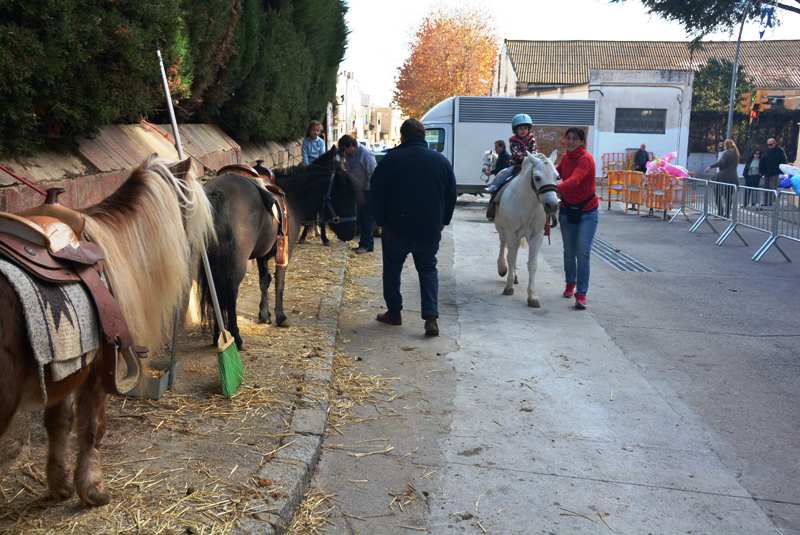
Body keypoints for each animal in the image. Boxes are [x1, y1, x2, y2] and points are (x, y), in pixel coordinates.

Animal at [0, 155, 214, 506]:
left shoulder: (66, 370)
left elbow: (58, 424)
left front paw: (59, 484)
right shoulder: (100, 371)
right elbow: (92, 428)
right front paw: (92, 489)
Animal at [202, 148, 360, 348]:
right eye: (344, 195)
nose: (352, 231)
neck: (292, 196)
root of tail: (217, 193)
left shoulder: (262, 254)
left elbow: (264, 281)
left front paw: (264, 314)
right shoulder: (284, 252)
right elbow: (279, 282)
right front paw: (280, 316)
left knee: (215, 291)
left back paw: (219, 334)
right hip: (235, 264)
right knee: (230, 294)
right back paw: (235, 336)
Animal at [496, 151, 560, 308]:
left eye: (557, 177)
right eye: (537, 178)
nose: (552, 205)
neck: (528, 203)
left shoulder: (537, 236)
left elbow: (532, 264)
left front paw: (532, 296)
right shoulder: (511, 232)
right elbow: (511, 257)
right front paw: (508, 287)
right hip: (502, 229)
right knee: (503, 246)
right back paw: (503, 268)